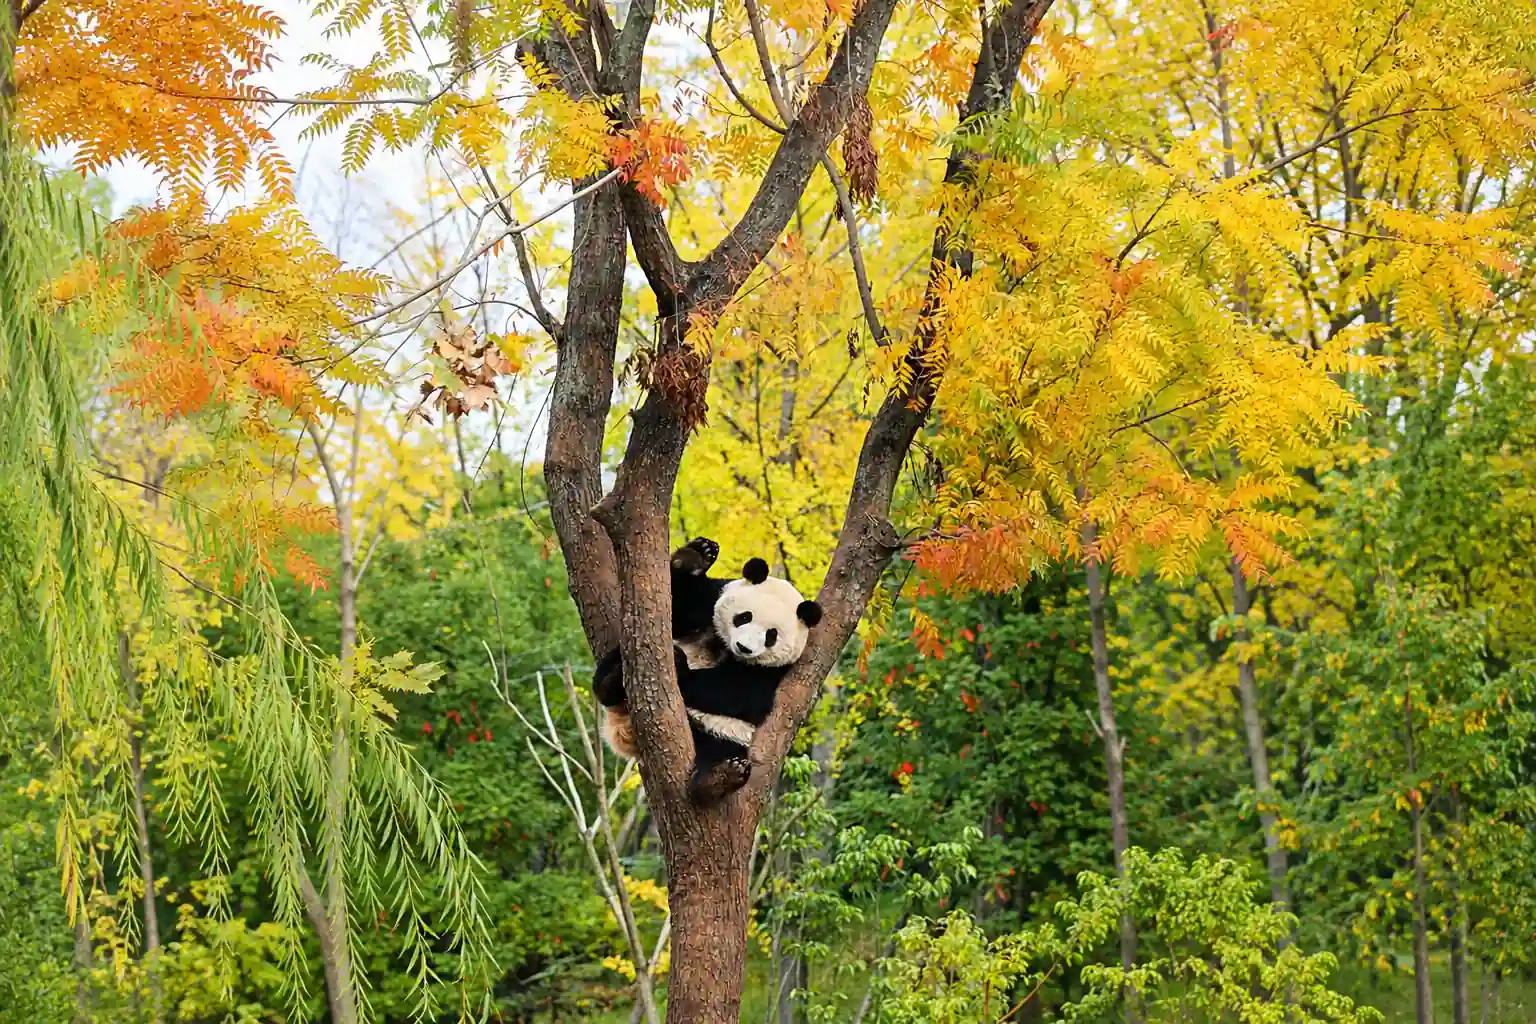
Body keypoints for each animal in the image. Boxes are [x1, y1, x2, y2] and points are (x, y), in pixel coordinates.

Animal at [593, 544, 823, 805]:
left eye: (771, 635)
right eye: (744, 617)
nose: (744, 647)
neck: (725, 647)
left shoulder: (771, 672)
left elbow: (738, 692)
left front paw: (681, 667)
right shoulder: (709, 603)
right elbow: (675, 607)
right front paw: (695, 557)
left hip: (723, 730)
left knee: (718, 748)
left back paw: (718, 776)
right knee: (613, 669)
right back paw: (610, 680)